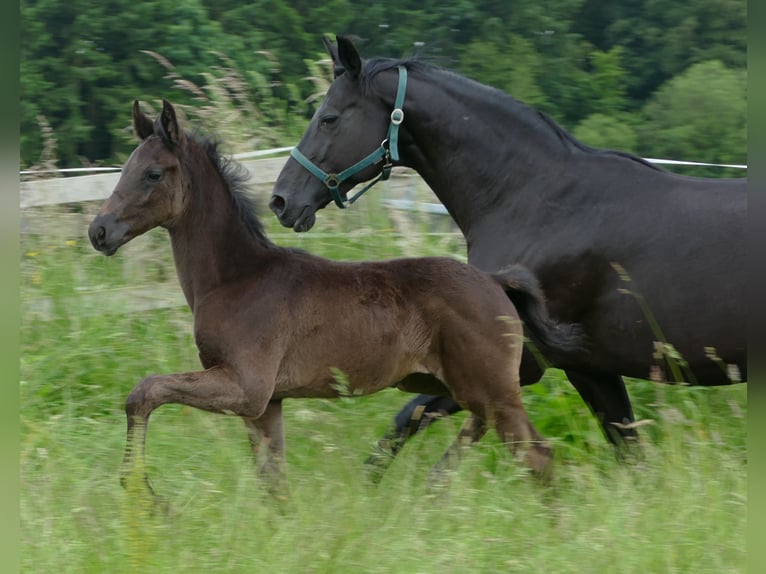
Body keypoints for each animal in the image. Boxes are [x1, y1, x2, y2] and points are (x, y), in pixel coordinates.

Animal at [87, 99, 584, 495]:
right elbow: (274, 482)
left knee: (537, 457)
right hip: (465, 388)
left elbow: (145, 390)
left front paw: (141, 490)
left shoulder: (245, 387)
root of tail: (497, 282)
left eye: (153, 173)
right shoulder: (267, 405)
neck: (237, 279)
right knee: (482, 430)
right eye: (125, 169)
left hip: (492, 390)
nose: (99, 231)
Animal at [270, 35, 747, 471]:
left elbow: (416, 416)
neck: (537, 201)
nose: (281, 200)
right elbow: (628, 452)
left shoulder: (520, 361)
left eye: (329, 118)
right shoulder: (590, 368)